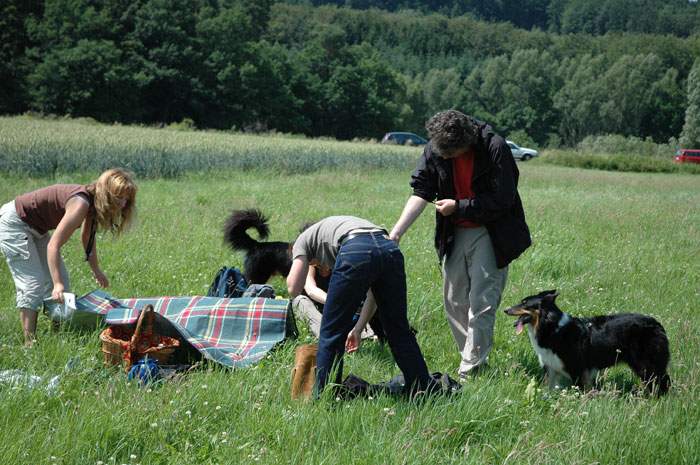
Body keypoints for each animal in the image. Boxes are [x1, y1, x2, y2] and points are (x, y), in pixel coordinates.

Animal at [506, 290, 668, 396]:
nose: (505, 310)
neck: (552, 327)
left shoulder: (577, 369)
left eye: (525, 304)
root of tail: (657, 324)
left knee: (662, 383)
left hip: (646, 366)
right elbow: (548, 388)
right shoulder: (550, 367)